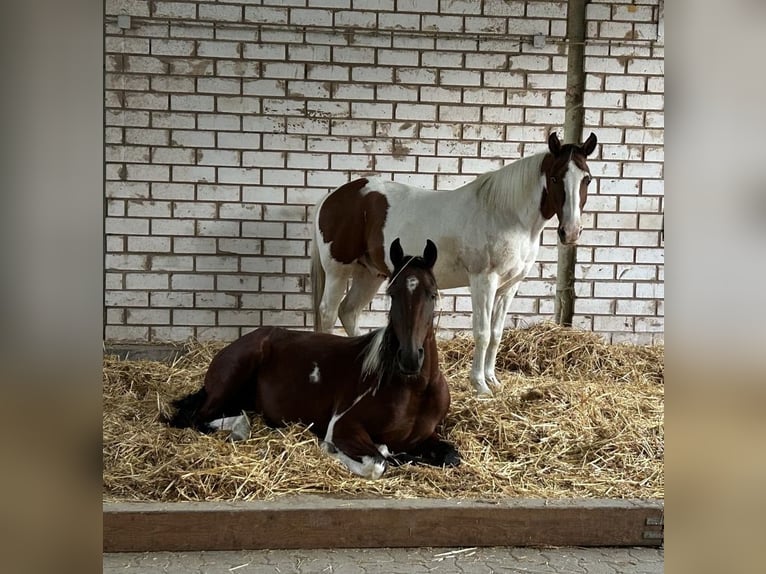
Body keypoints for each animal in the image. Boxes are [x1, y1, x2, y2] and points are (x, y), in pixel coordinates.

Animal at [168, 239, 460, 479]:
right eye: (392, 293)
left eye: (432, 293)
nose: (409, 358)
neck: (414, 389)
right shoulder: (343, 426)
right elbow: (377, 463)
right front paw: (332, 448)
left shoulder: (429, 436)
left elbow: (451, 457)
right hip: (233, 377)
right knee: (194, 418)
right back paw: (240, 428)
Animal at [311, 131, 597, 395]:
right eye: (555, 178)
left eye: (587, 179)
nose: (571, 232)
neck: (507, 214)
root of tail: (331, 198)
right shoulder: (484, 280)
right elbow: (482, 333)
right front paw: (480, 385)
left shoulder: (509, 286)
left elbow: (496, 334)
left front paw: (493, 380)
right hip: (338, 272)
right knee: (328, 312)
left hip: (370, 274)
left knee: (349, 311)